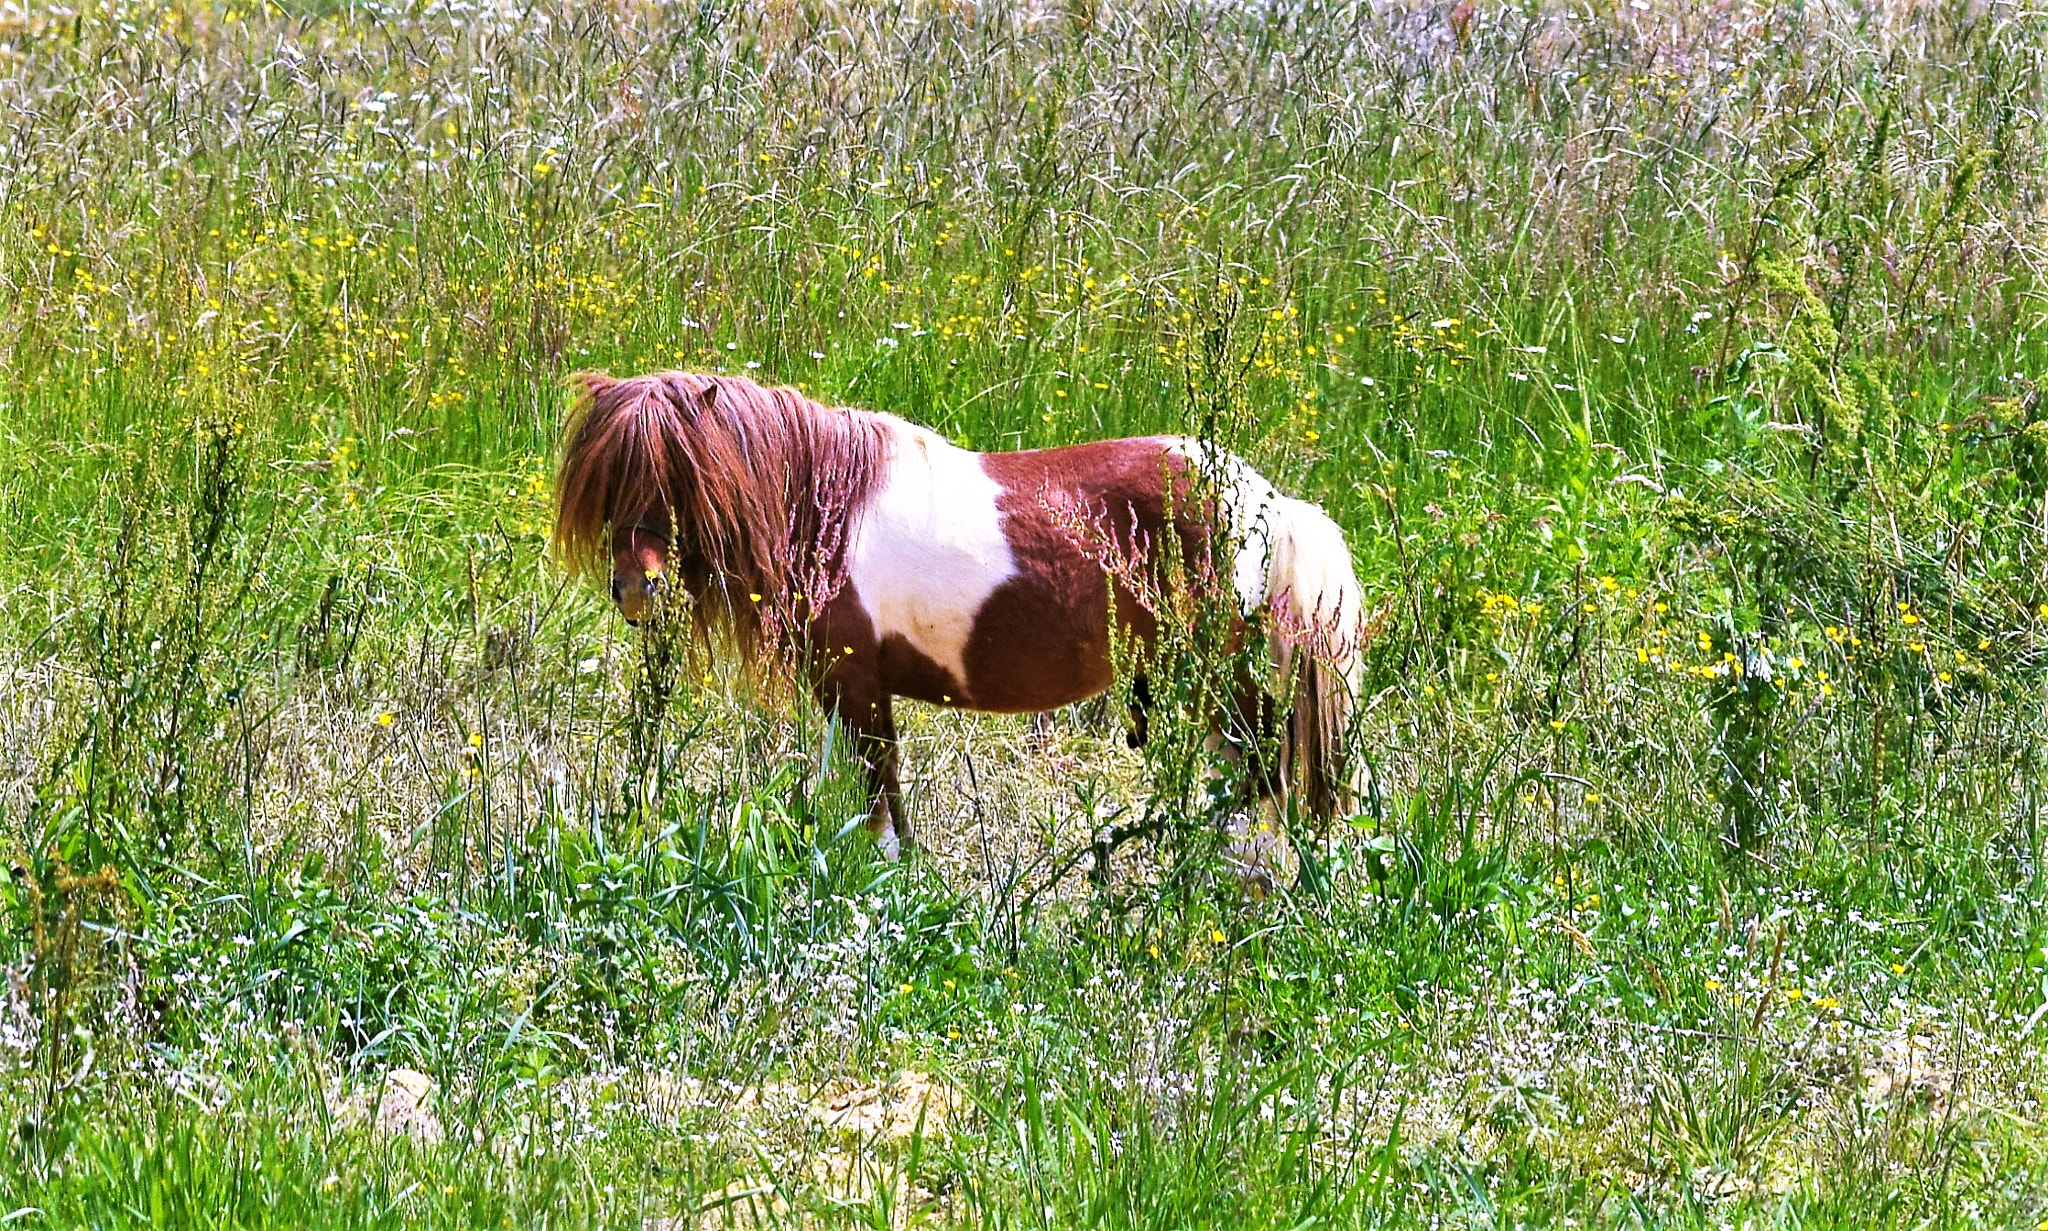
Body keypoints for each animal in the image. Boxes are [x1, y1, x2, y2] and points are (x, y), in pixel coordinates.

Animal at [551, 370, 1366, 860]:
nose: (635, 589)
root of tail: (1270, 502)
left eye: (678, 474)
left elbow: (878, 794)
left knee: (1263, 777)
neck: (827, 504)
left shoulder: (856, 684)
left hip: (1216, 679)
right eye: (605, 481)